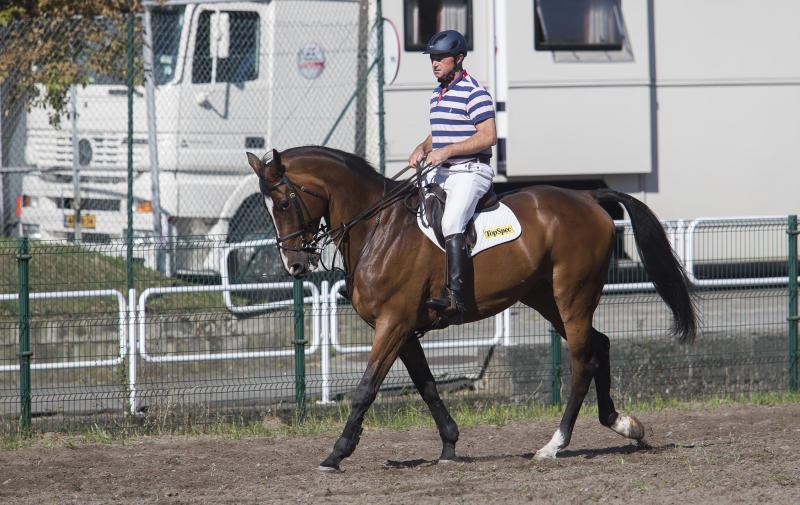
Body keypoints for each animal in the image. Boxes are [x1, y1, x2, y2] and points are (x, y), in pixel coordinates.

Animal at [242, 146, 692, 472]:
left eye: (284, 202)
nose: (294, 266)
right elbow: (426, 385)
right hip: (546, 299)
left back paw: (553, 445)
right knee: (600, 345)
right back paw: (623, 424)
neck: (377, 228)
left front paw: (337, 453)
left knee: (583, 362)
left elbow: (366, 388)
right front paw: (449, 444)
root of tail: (587, 197)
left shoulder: (392, 324)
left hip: (572, 297)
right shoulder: (402, 329)